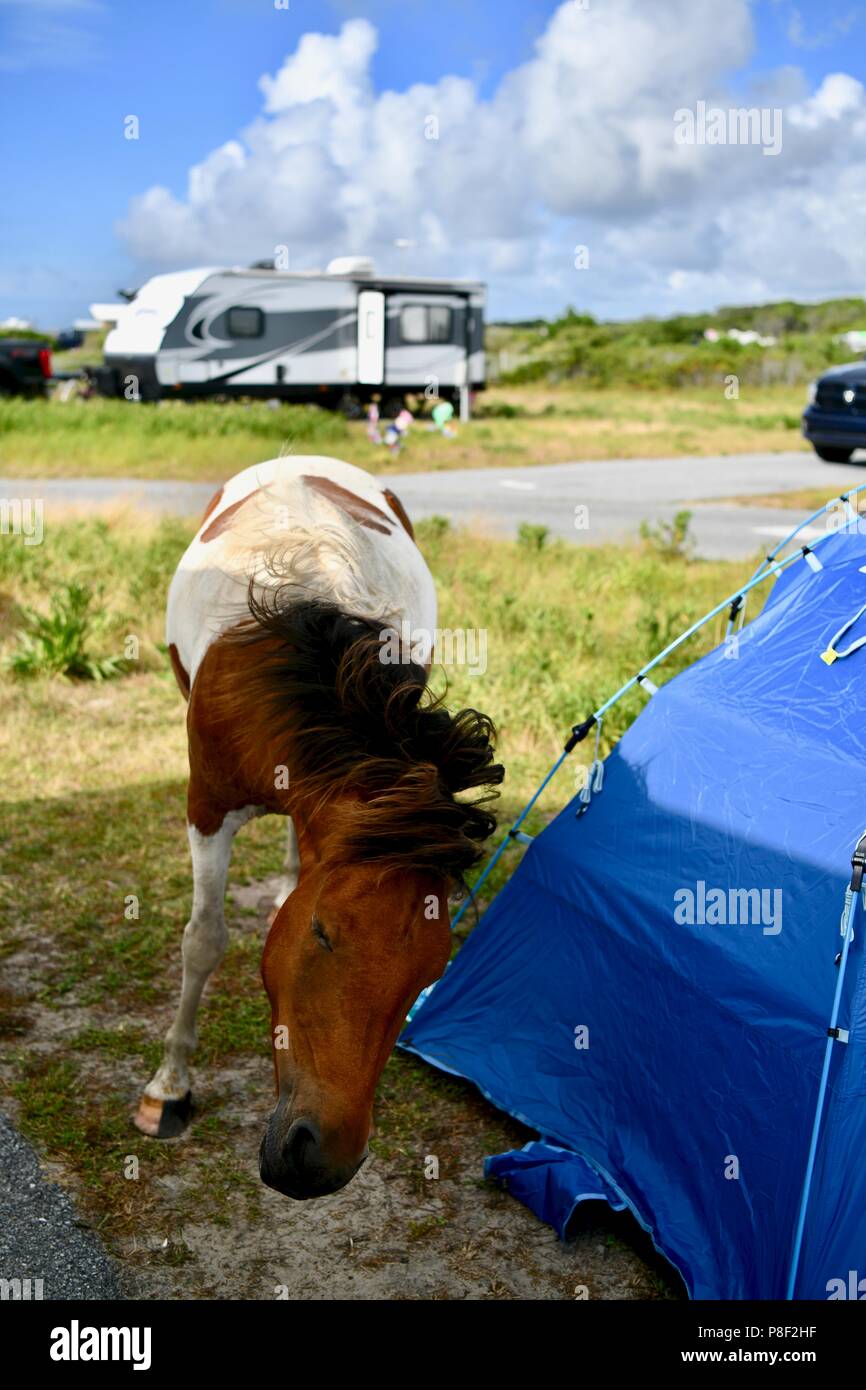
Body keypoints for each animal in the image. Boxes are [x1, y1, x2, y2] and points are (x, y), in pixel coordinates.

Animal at [134, 456, 503, 1200]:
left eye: (432, 971)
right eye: (323, 933)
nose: (321, 1162)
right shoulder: (206, 809)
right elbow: (203, 941)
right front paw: (169, 1091)